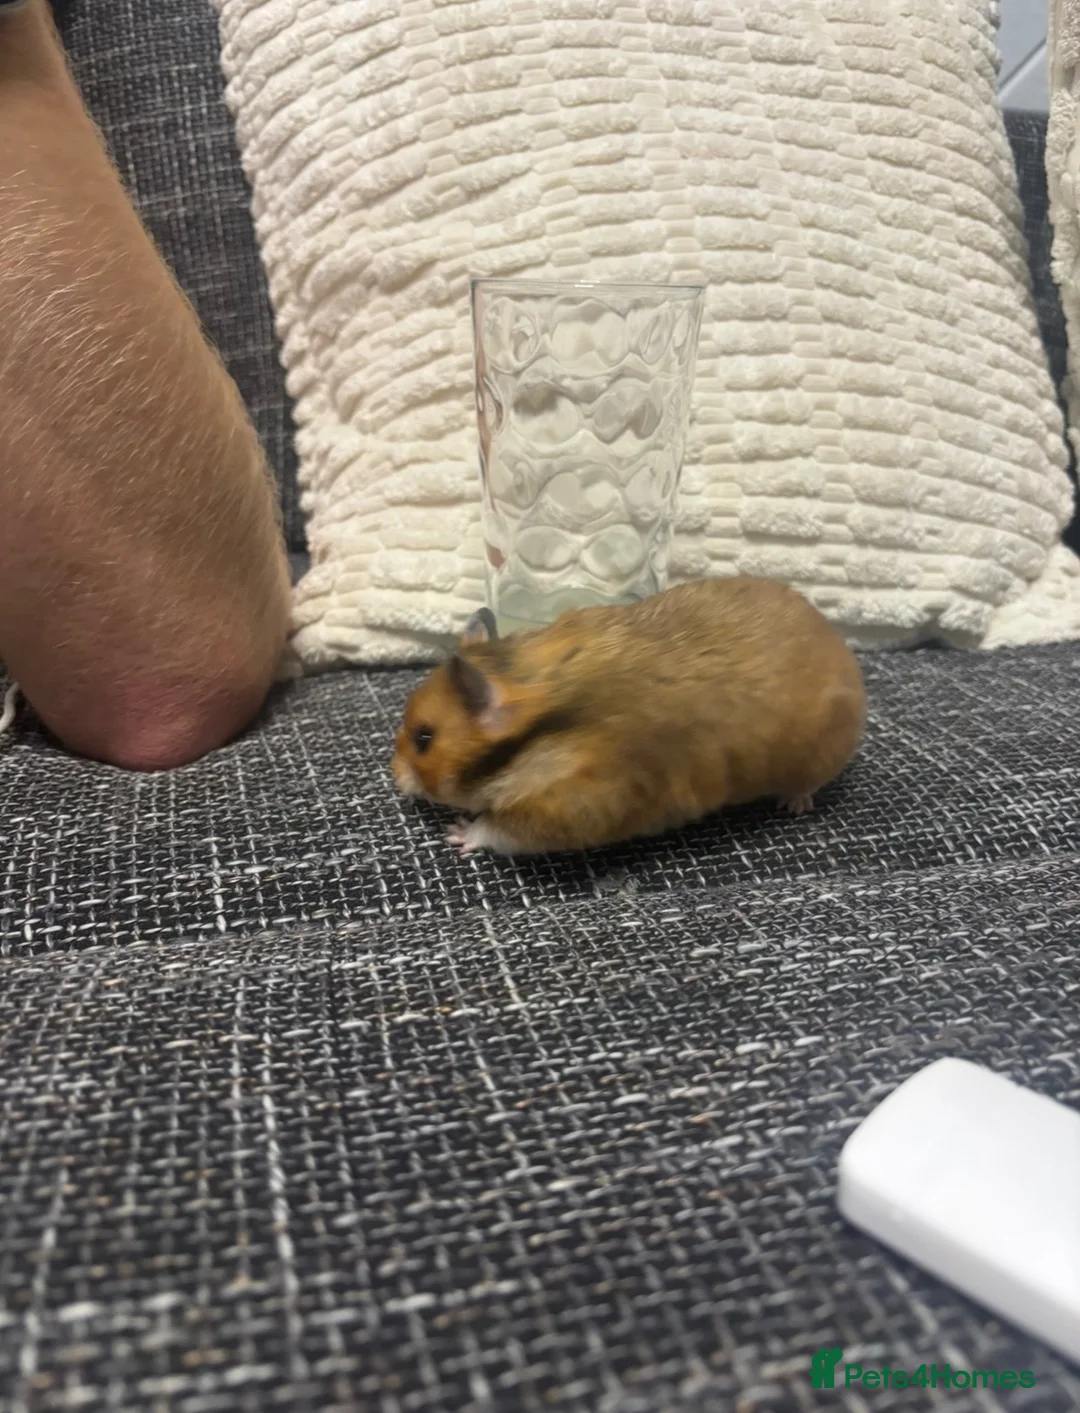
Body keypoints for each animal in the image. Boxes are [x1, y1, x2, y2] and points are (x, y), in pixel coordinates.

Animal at [392, 576, 865, 856]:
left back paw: (794, 803)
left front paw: (458, 831)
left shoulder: (576, 807)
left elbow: (498, 828)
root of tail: (842, 649)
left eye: (424, 739)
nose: (394, 777)